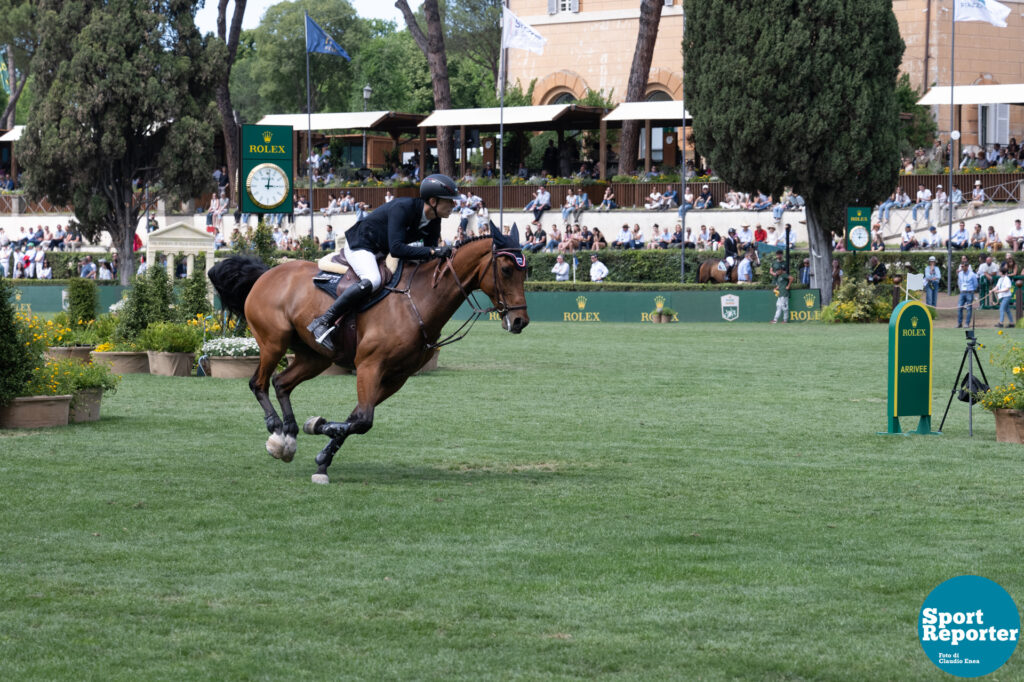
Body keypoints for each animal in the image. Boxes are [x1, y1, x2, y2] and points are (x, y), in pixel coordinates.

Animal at [206, 223, 528, 483]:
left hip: (316, 357)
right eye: (507, 269)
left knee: (281, 383)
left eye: (527, 272)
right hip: (274, 342)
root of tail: (267, 273)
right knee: (258, 383)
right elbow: (362, 420)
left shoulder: (396, 377)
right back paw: (277, 435)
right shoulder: (370, 366)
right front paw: (319, 426)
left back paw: (290, 434)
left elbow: (356, 419)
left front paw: (323, 458)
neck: (419, 299)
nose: (520, 321)